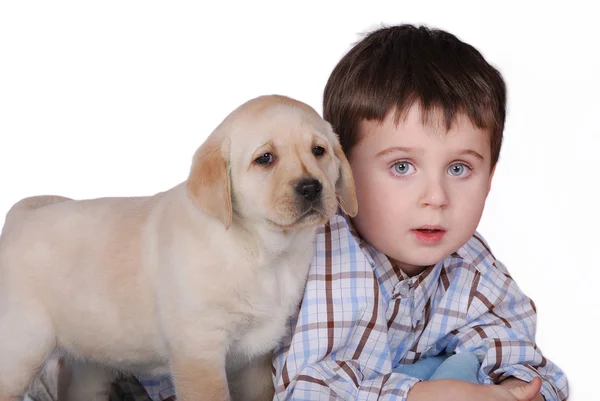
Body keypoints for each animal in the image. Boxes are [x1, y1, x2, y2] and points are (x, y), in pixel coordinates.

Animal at [0, 95, 356, 400]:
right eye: (265, 159)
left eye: (319, 151)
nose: (311, 187)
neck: (263, 250)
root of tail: (18, 218)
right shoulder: (199, 349)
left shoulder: (254, 357)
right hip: (21, 346)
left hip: (90, 362)